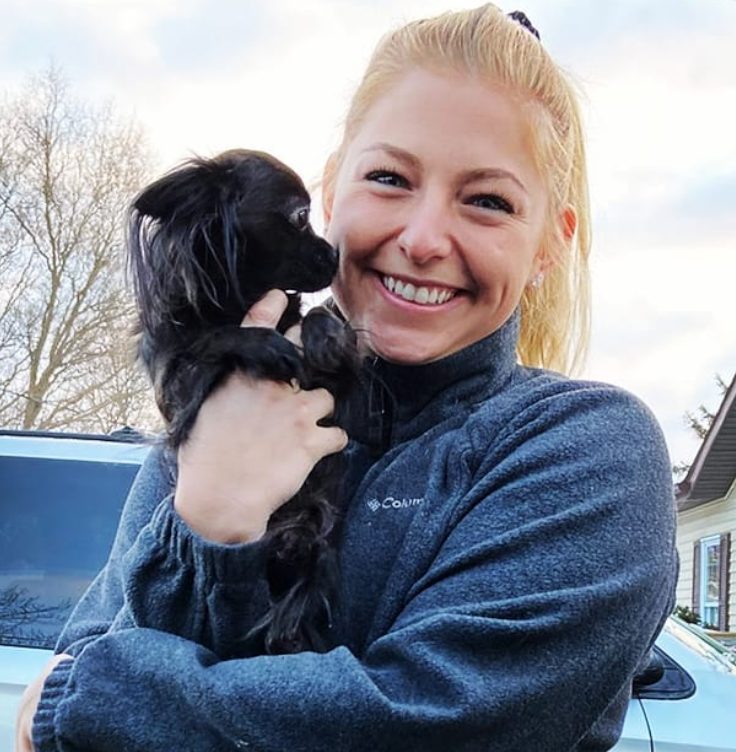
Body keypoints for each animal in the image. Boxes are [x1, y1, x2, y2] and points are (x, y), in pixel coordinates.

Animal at [127, 148, 359, 654]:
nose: (337, 254)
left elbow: (315, 312)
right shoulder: (177, 387)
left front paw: (325, 334)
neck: (238, 300)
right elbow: (210, 339)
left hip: (312, 535)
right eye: (300, 216)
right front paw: (262, 344)